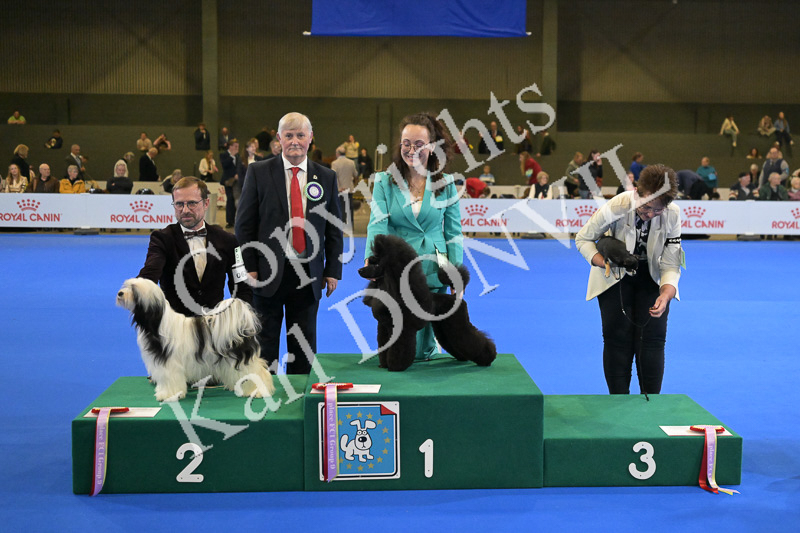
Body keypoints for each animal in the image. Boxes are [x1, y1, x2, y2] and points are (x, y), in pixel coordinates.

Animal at [116, 277, 275, 401]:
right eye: (126, 286)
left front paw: (168, 395)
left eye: (133, 289)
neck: (158, 323)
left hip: (241, 359)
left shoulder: (169, 364)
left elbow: (170, 379)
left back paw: (259, 390)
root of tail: (241, 326)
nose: (120, 293)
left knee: (258, 372)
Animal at [359, 234, 497, 372]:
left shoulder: (403, 329)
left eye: (377, 265)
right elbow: (384, 346)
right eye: (370, 261)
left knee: (472, 339)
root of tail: (456, 297)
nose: (360, 270)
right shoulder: (384, 327)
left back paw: (488, 359)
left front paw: (395, 366)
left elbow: (399, 349)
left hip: (457, 323)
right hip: (444, 326)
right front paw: (384, 365)